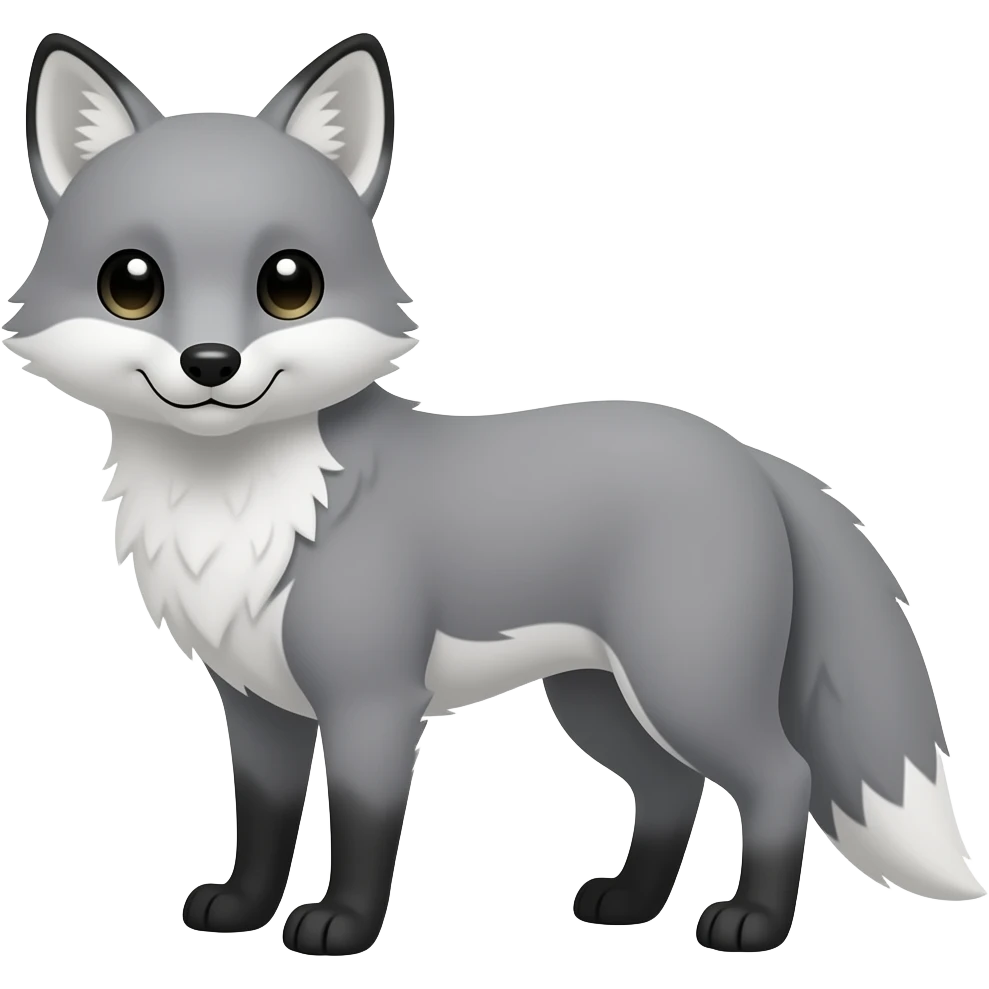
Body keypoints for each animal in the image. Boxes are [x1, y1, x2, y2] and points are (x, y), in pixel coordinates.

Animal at [4, 31, 983, 958]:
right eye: (132, 282)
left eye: (289, 283)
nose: (210, 364)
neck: (243, 510)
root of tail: (748, 454)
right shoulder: (254, 700)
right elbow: (265, 819)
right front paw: (241, 911)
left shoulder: (373, 698)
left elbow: (363, 824)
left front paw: (342, 926)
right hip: (598, 699)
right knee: (671, 785)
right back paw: (629, 903)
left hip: (685, 684)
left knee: (782, 778)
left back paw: (752, 923)